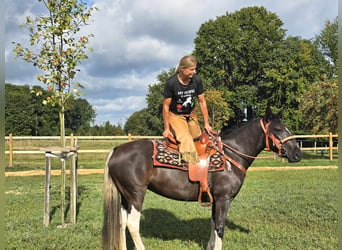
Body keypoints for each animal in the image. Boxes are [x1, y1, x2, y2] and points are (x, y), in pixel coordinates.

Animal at [102, 108, 302, 249]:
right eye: (277, 129)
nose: (297, 154)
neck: (230, 155)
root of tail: (117, 150)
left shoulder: (216, 200)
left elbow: (213, 224)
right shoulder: (223, 199)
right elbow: (220, 228)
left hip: (125, 197)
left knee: (121, 224)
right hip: (136, 195)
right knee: (132, 225)